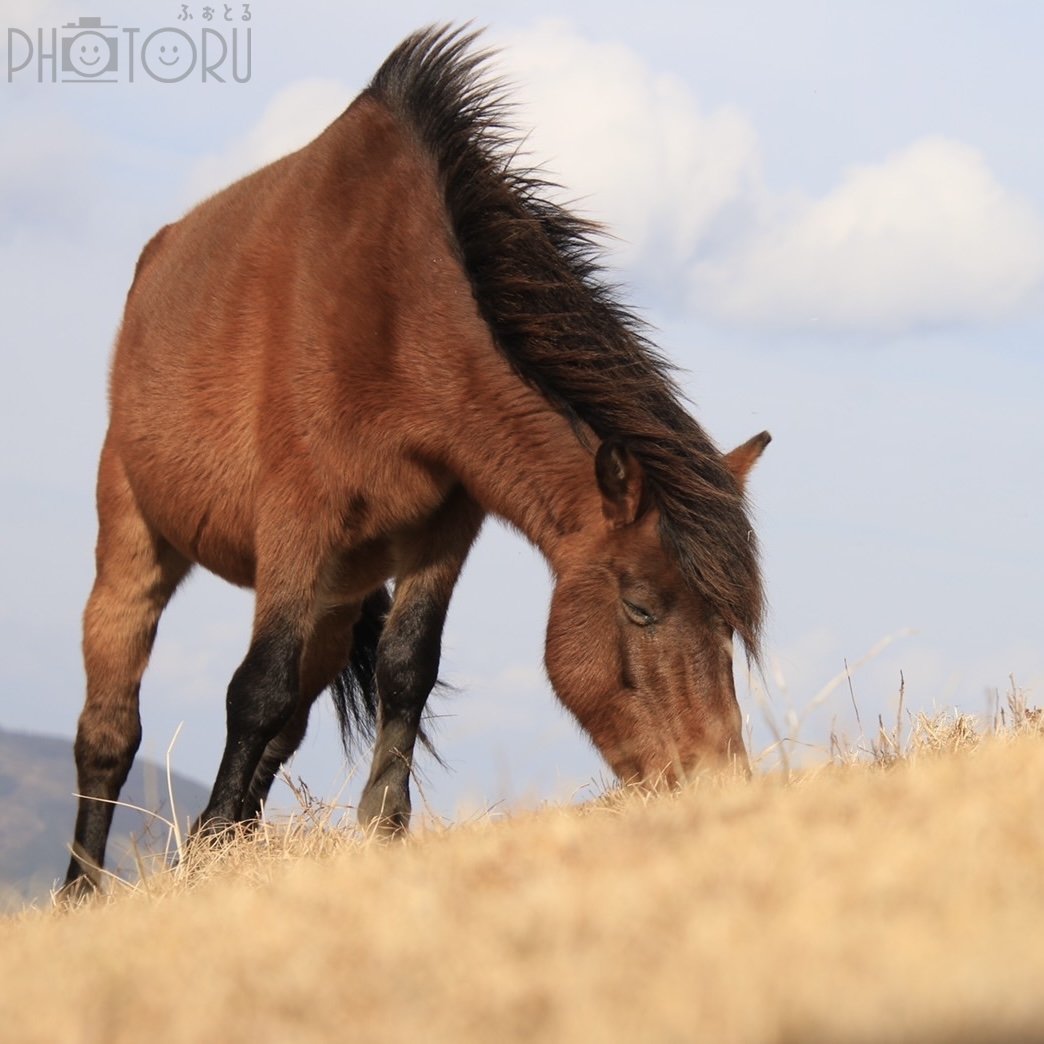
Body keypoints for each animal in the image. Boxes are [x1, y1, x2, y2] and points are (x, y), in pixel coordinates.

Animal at [63, 24, 768, 897]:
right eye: (641, 608)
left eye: (730, 625)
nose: (719, 782)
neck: (394, 311)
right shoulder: (295, 529)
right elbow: (256, 689)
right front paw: (213, 842)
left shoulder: (443, 530)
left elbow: (406, 668)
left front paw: (378, 829)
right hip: (137, 539)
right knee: (110, 726)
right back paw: (80, 889)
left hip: (336, 597)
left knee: (288, 721)